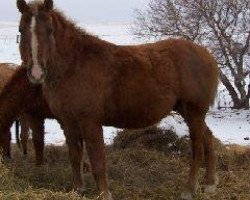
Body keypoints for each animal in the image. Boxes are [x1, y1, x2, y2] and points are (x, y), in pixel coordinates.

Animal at [16, 0, 219, 199]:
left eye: (50, 29)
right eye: (21, 29)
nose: (36, 73)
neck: (74, 66)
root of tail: (207, 55)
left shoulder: (90, 122)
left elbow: (98, 162)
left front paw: (104, 194)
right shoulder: (68, 122)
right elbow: (75, 157)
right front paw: (78, 190)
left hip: (194, 111)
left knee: (197, 148)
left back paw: (190, 189)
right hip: (187, 111)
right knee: (208, 138)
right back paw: (209, 183)